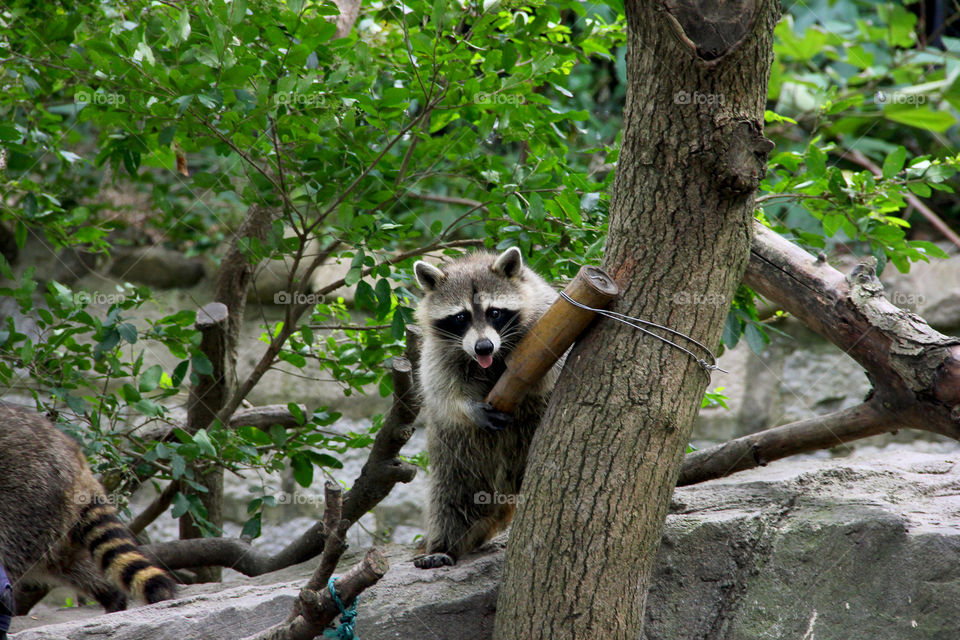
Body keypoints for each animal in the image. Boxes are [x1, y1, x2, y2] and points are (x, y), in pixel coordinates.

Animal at [412, 248, 564, 568]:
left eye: (495, 312)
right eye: (460, 317)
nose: (483, 347)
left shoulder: (546, 313)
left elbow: (553, 368)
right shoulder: (438, 349)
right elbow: (438, 385)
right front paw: (467, 406)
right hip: (456, 456)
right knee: (452, 499)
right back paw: (444, 546)